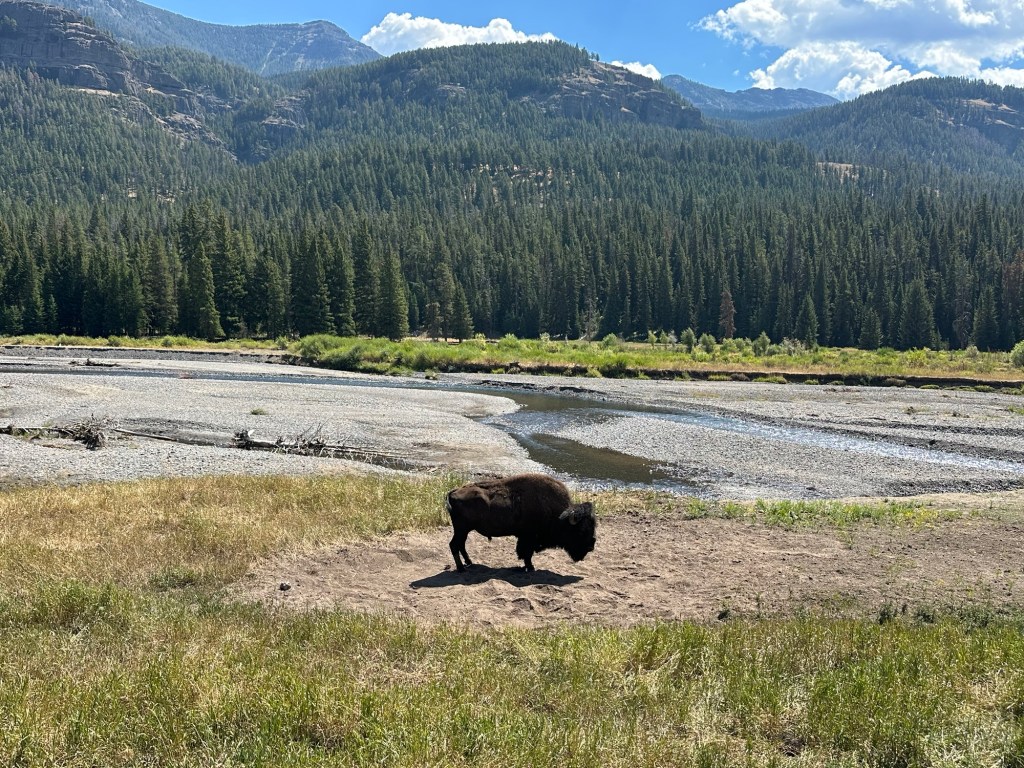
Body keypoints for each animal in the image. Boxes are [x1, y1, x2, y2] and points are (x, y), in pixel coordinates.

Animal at [445, 473, 597, 572]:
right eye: (582, 530)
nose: (591, 546)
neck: (558, 514)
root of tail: (453, 492)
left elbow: (525, 553)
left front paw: (527, 566)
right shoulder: (528, 538)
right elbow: (526, 553)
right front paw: (530, 567)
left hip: (464, 530)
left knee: (460, 545)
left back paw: (469, 563)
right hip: (461, 529)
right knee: (454, 545)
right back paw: (461, 569)